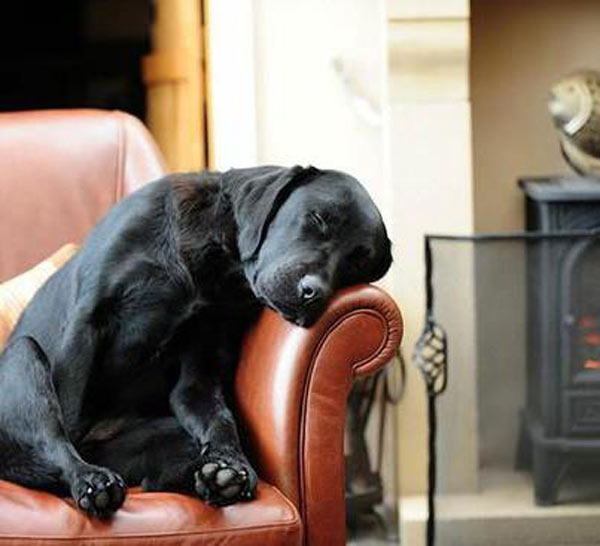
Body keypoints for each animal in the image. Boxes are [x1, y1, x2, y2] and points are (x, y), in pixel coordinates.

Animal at [0, 165, 394, 516]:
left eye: (355, 266)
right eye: (317, 219)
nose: (313, 293)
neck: (213, 261)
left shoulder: (201, 368)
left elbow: (220, 420)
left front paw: (230, 466)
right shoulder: (87, 321)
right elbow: (67, 411)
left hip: (165, 434)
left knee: (158, 477)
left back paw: (216, 477)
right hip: (22, 356)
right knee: (55, 438)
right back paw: (91, 480)